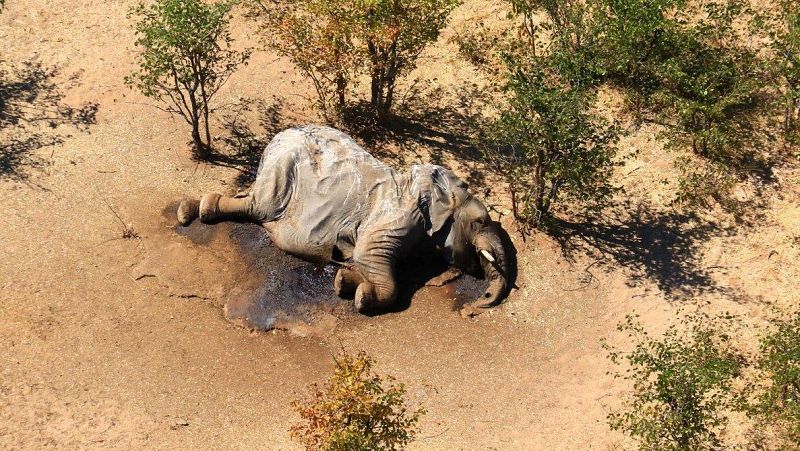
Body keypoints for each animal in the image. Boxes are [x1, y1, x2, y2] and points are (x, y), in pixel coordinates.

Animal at [177, 125, 512, 316]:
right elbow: (369, 256)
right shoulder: (398, 215)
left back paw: (191, 209)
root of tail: (279, 135)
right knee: (259, 207)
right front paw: (362, 297)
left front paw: (344, 282)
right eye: (480, 221)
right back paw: (194, 211)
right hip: (282, 168)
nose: (474, 307)